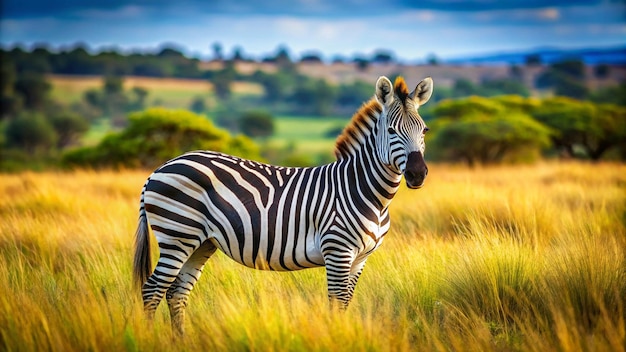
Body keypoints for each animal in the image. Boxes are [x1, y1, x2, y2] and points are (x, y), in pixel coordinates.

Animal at [133, 75, 432, 334]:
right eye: (391, 131)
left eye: (424, 130)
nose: (417, 174)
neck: (368, 194)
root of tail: (160, 168)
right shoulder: (338, 251)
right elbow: (336, 303)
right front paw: (336, 336)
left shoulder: (361, 258)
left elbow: (345, 303)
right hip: (177, 235)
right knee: (153, 290)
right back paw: (150, 339)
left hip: (200, 242)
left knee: (176, 292)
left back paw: (180, 340)